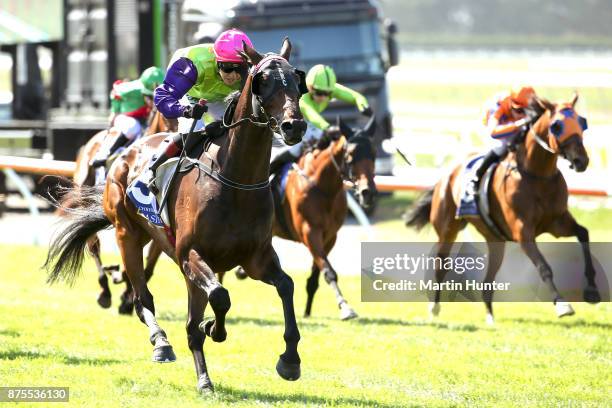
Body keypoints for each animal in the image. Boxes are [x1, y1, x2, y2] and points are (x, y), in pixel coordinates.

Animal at [44, 39, 306, 394]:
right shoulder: (189, 254)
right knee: (144, 298)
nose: (295, 126)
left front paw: (289, 360)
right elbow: (220, 297)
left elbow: (285, 287)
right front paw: (214, 330)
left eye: (296, 80)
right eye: (262, 80)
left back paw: (202, 371)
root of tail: (124, 157)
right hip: (127, 235)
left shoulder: (256, 257)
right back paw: (162, 343)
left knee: (186, 316)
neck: (237, 180)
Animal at [404, 95, 600, 322]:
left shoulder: (556, 222)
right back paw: (434, 308)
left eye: (581, 122)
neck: (537, 175)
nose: (581, 160)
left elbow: (583, 233)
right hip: (447, 230)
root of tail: (446, 175)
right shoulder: (522, 231)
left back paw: (490, 317)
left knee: (487, 280)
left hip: (495, 240)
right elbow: (544, 267)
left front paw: (592, 291)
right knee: (441, 266)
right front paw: (562, 304)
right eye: (557, 126)